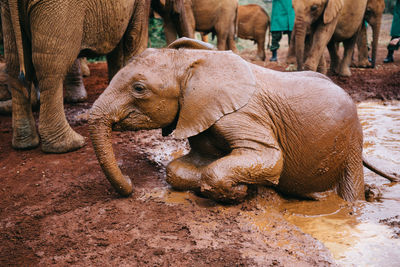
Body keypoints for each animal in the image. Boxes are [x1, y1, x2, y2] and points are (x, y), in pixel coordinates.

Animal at [1, 0, 151, 154]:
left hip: (7, 12)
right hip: (58, 8)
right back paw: (70, 145)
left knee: (14, 62)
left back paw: (25, 144)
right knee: (52, 66)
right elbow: (133, 38)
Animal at [89, 37, 398, 203]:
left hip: (350, 142)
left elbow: (270, 157)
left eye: (139, 89)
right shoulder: (199, 113)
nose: (130, 182)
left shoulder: (240, 114)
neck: (191, 62)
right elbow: (178, 169)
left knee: (351, 190)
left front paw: (239, 191)